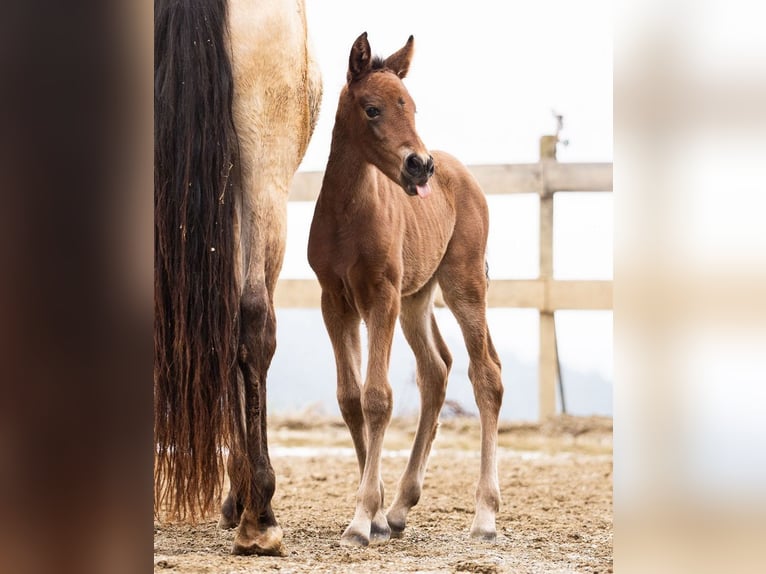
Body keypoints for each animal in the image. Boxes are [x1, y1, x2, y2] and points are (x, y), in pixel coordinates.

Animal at [307, 32, 503, 547]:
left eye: (411, 107)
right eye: (372, 109)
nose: (421, 166)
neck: (348, 214)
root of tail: (462, 173)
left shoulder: (382, 296)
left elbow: (378, 397)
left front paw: (361, 521)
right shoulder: (335, 301)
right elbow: (351, 399)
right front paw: (375, 513)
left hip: (462, 284)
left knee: (486, 375)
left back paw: (484, 516)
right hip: (417, 299)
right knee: (437, 370)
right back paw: (398, 508)